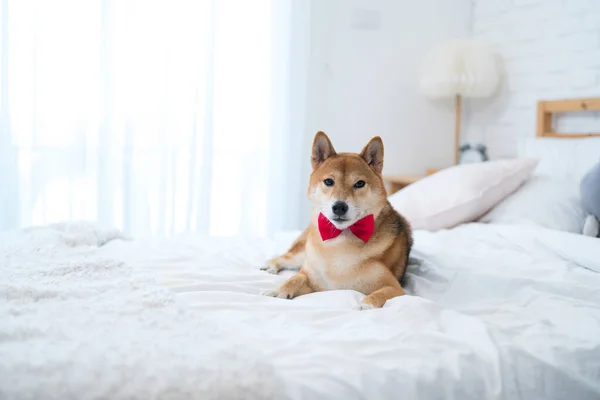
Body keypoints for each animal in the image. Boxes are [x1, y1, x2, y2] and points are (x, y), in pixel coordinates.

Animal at [260, 131, 410, 310]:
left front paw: (365, 305)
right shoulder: (312, 278)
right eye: (328, 181)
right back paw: (271, 264)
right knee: (287, 257)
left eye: (360, 183)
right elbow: (295, 278)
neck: (339, 241)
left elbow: (378, 294)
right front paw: (279, 290)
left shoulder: (394, 287)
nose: (339, 207)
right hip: (303, 255)